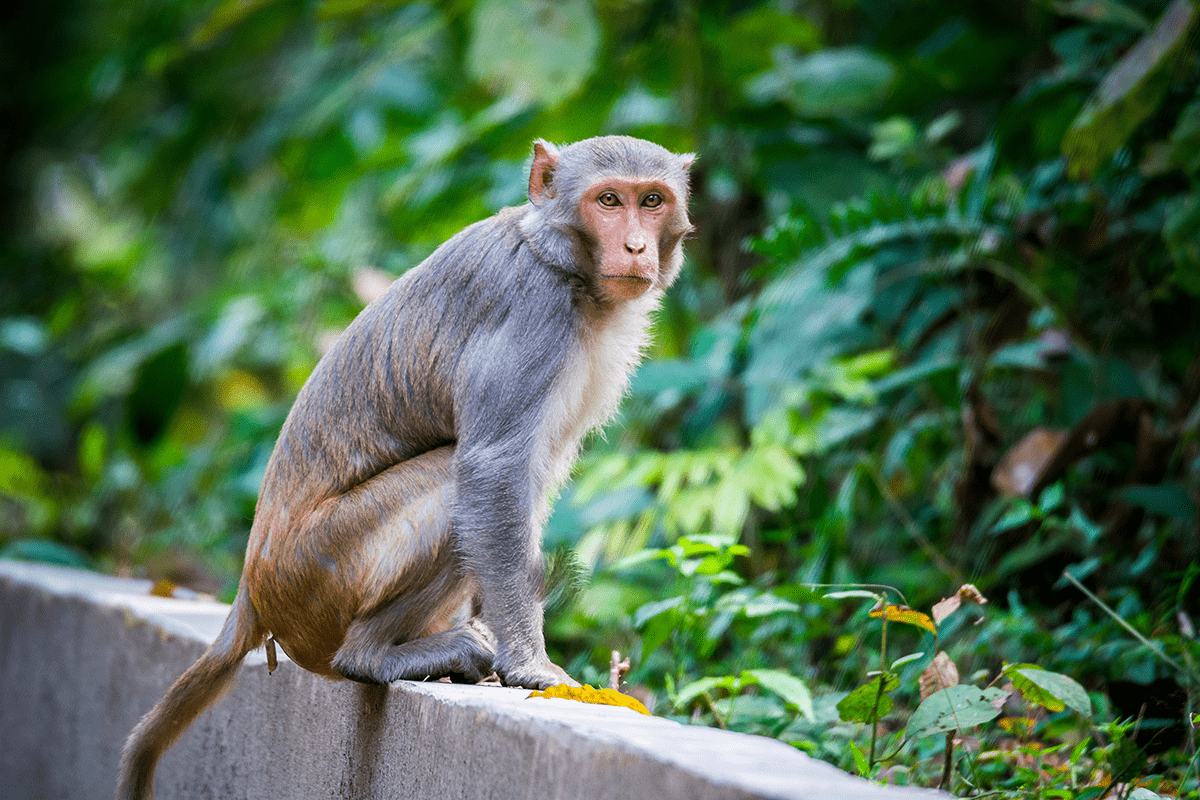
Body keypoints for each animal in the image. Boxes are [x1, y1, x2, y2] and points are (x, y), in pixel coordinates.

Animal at [114, 137, 696, 800]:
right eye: (609, 201)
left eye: (652, 201)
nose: (636, 247)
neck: (560, 262)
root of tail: (251, 589)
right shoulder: (534, 313)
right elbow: (495, 469)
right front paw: (530, 664)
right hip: (322, 574)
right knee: (451, 481)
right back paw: (373, 656)